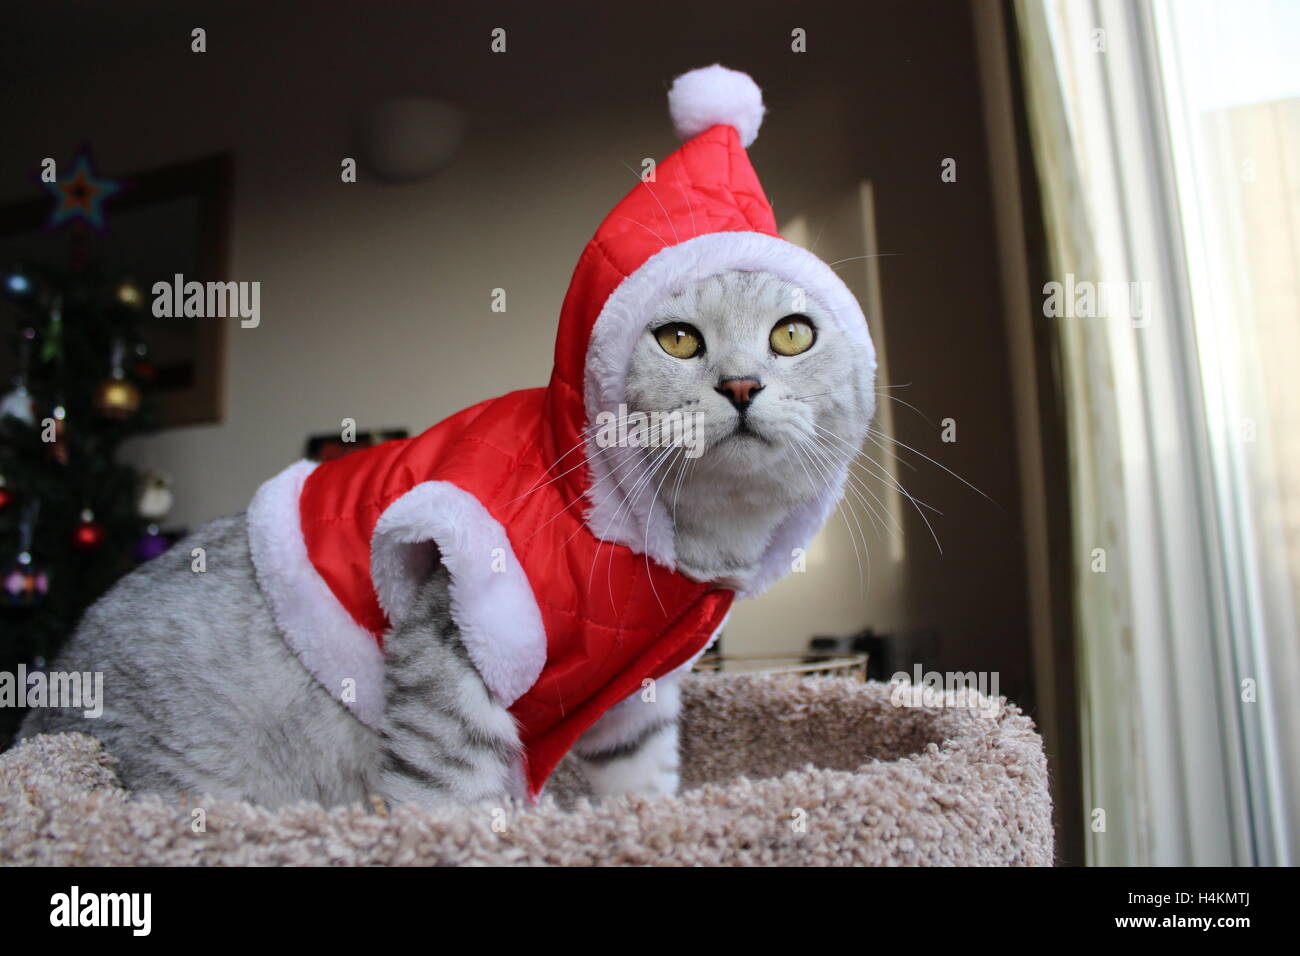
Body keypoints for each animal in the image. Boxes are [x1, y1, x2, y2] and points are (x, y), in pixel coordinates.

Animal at [17, 269, 873, 806]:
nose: (740, 385)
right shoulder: (453, 649)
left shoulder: (638, 694)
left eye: (792, 335)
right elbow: (449, 793)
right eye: (681, 340)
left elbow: (642, 788)